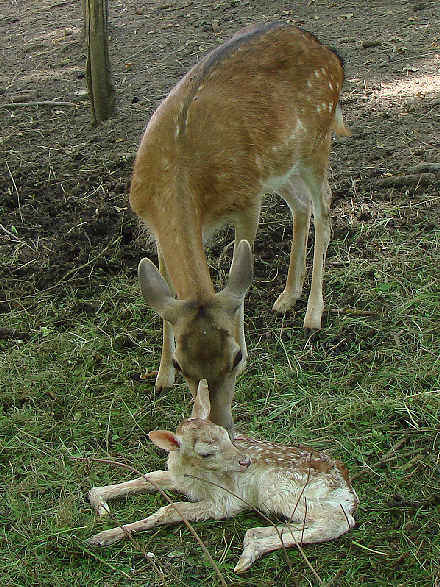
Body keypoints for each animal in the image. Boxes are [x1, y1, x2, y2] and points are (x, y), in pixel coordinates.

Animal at [87, 384, 358, 572]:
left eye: (227, 435)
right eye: (206, 452)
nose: (245, 461)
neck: (194, 474)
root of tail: (348, 490)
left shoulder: (225, 500)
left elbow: (170, 509)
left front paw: (101, 537)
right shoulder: (177, 478)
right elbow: (148, 477)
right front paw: (100, 503)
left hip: (282, 490)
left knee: (339, 521)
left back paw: (250, 552)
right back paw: (253, 540)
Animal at [129, 21, 348, 432]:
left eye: (236, 357)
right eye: (183, 363)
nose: (218, 422)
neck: (179, 171)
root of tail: (328, 52)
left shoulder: (247, 201)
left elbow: (239, 277)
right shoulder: (153, 224)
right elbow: (165, 293)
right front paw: (160, 377)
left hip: (317, 139)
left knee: (324, 208)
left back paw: (313, 313)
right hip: (279, 166)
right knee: (300, 205)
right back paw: (287, 296)